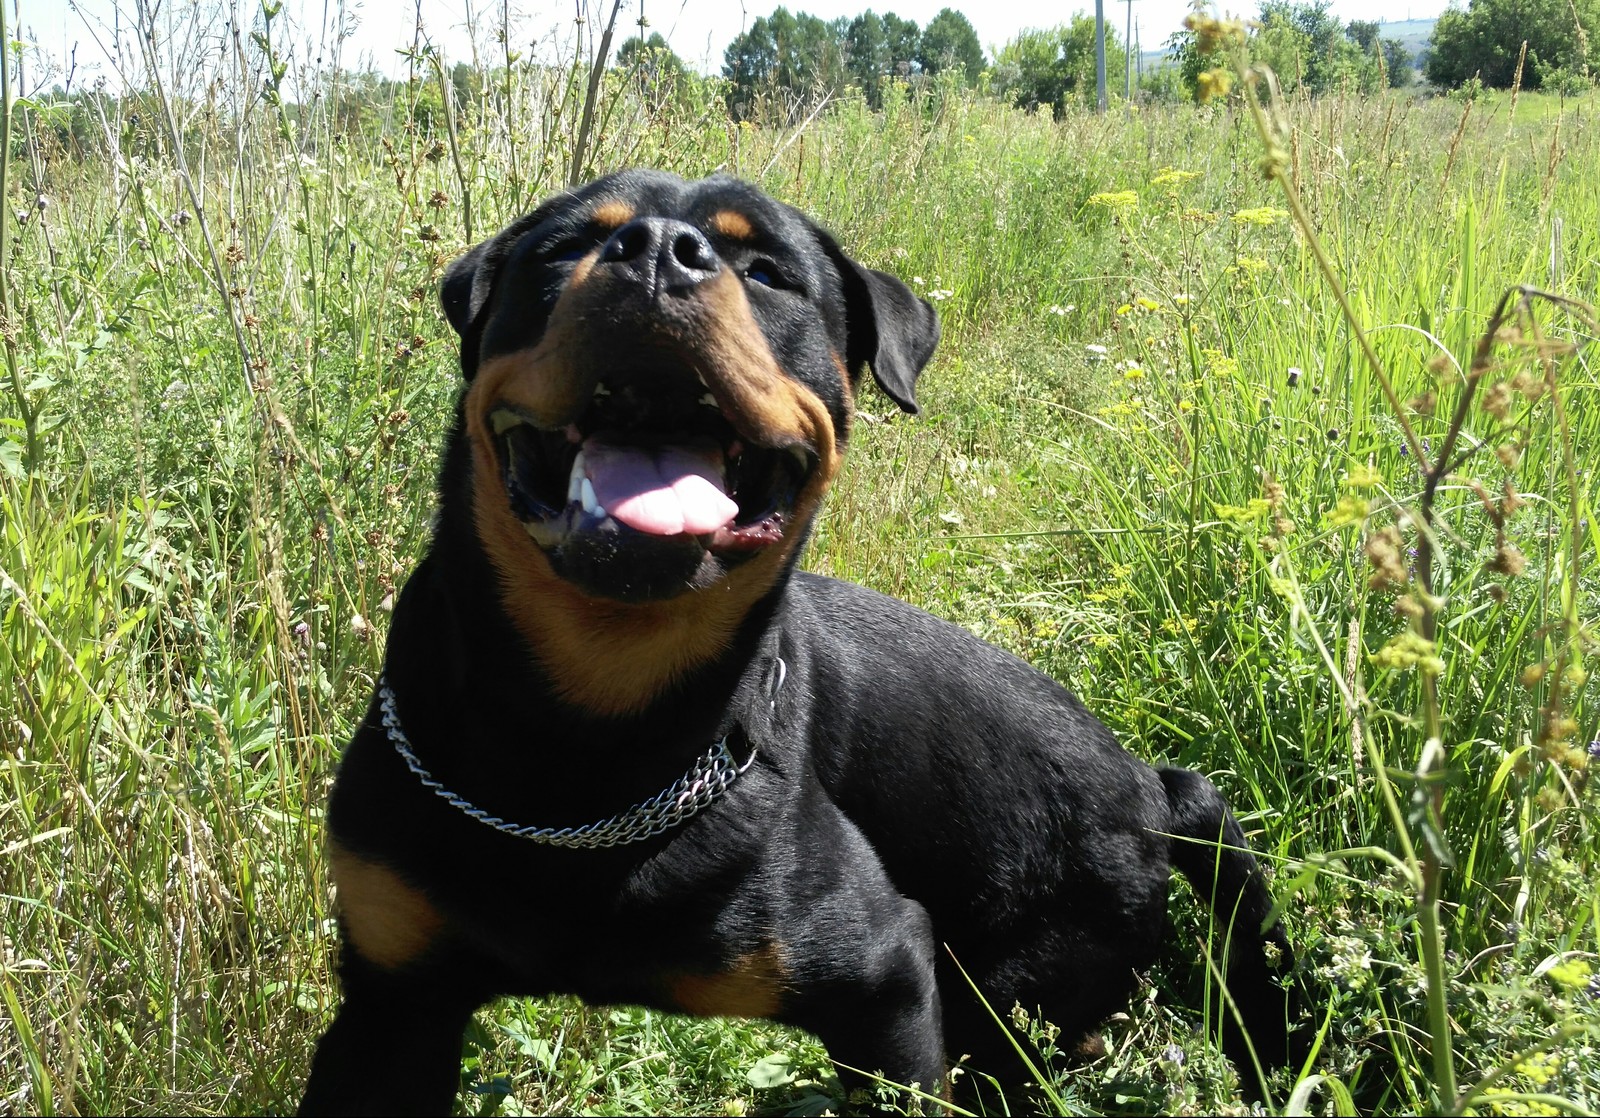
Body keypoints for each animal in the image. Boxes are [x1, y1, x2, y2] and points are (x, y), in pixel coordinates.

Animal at [300, 170, 1299, 1113]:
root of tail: (1153, 786)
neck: (592, 742)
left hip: (1008, 995)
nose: (657, 249)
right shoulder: (390, 1004)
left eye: (770, 273)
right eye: (562, 250)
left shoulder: (883, 979)